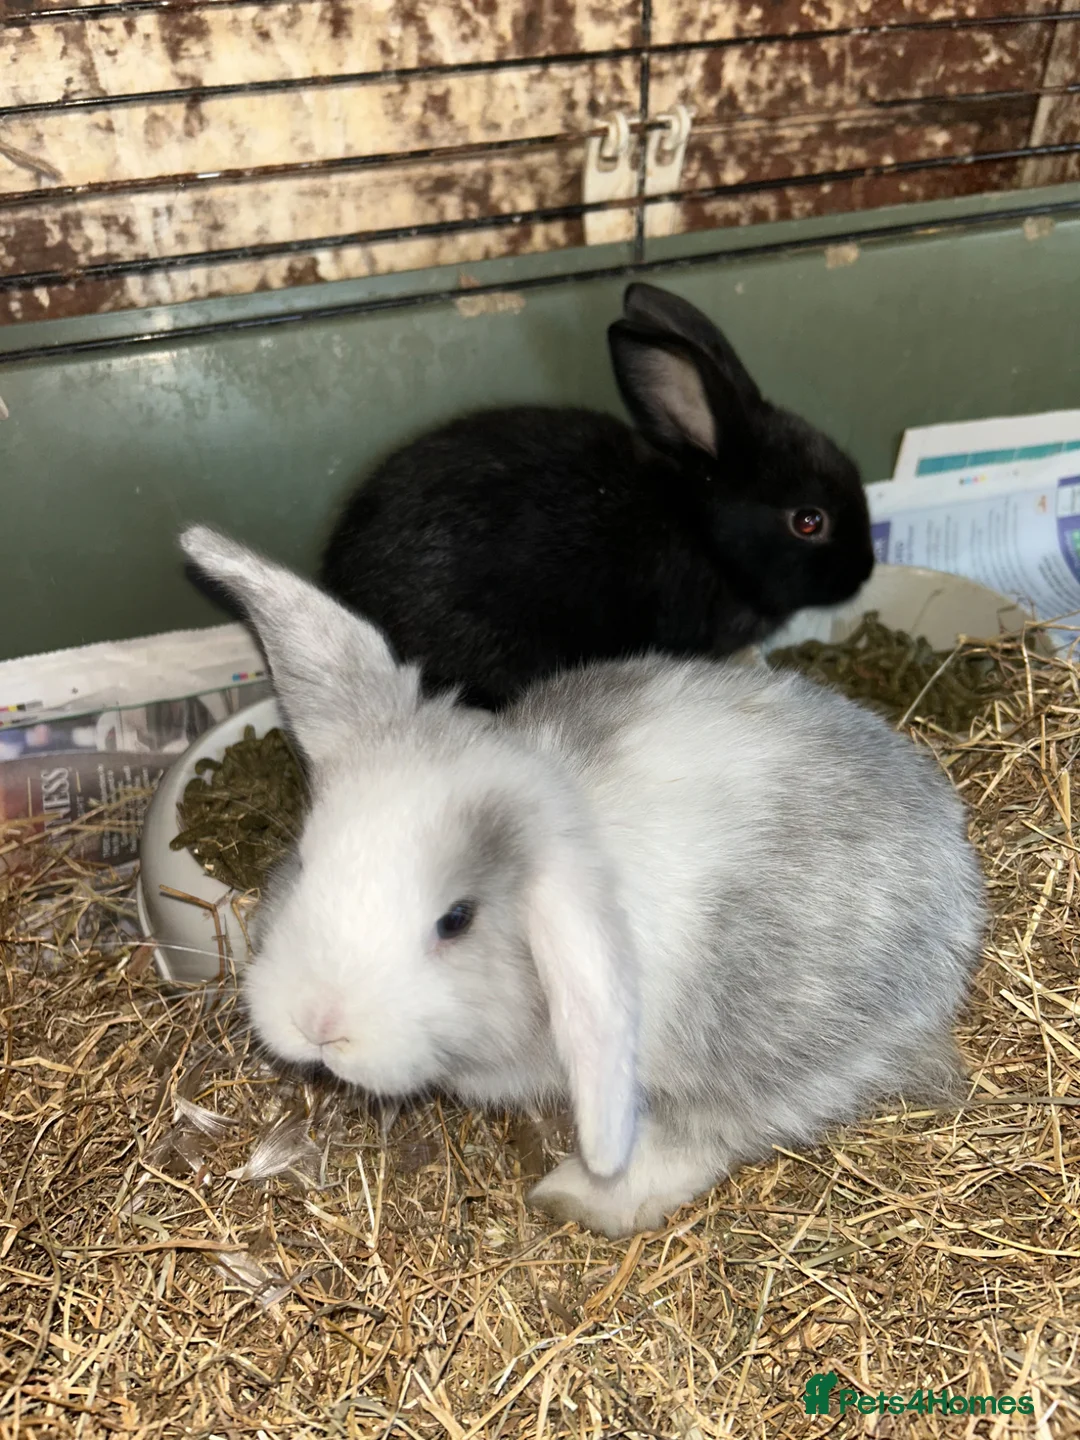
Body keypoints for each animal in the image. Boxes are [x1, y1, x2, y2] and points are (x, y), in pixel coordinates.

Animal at [180, 524, 984, 1240]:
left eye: (457, 919)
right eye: (305, 859)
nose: (318, 1024)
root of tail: (958, 884)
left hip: (769, 1050)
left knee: (714, 1129)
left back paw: (580, 1197)